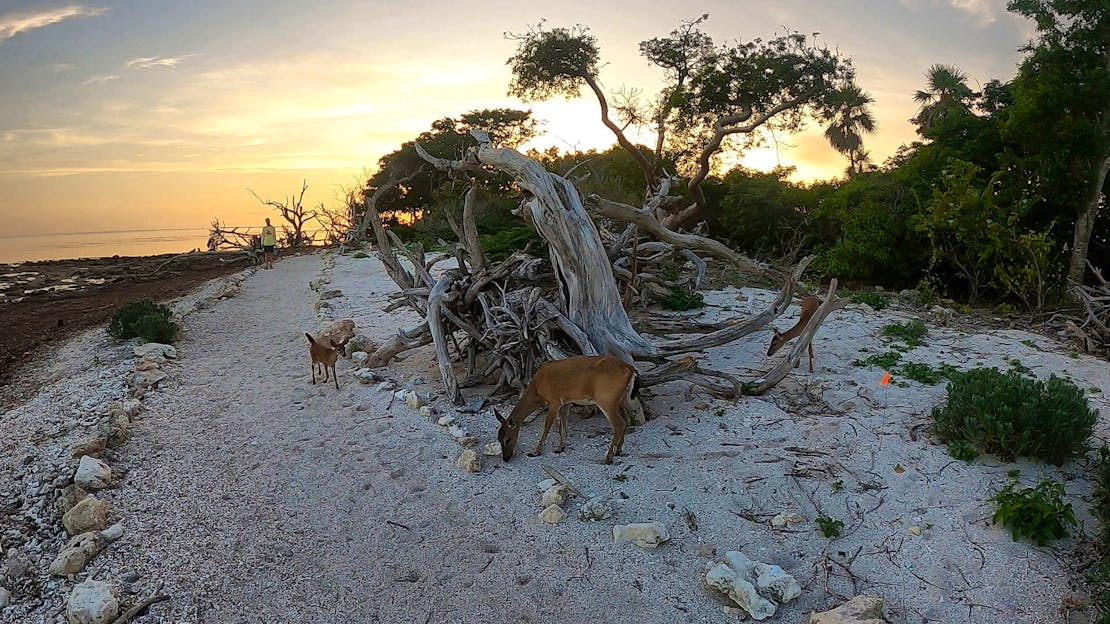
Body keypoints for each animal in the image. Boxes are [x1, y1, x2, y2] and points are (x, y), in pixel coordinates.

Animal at [495, 355, 643, 465]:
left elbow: (547, 426)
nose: (506, 458)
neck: (537, 388)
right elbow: (563, 424)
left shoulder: (554, 401)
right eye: (498, 439)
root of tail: (631, 369)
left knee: (619, 424)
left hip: (606, 399)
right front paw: (561, 447)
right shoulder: (565, 402)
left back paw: (608, 458)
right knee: (626, 419)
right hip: (620, 400)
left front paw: (536, 451)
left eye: (508, 439)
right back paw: (618, 450)